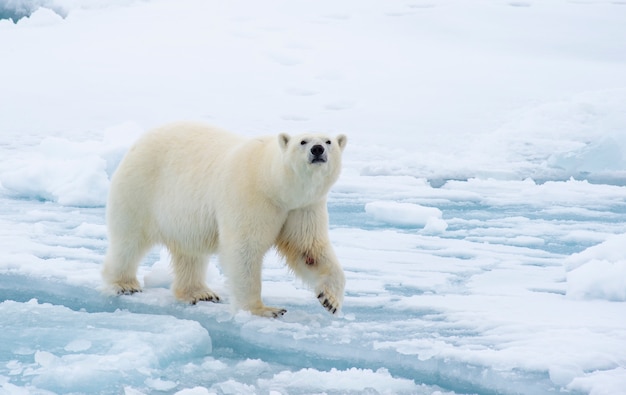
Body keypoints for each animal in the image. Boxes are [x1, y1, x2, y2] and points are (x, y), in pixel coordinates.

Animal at [102, 124, 346, 318]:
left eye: (329, 141)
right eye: (303, 141)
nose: (318, 150)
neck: (272, 183)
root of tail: (138, 142)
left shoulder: (302, 207)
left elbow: (308, 249)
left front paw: (330, 300)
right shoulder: (251, 196)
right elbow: (245, 249)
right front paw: (264, 310)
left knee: (190, 254)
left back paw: (200, 293)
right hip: (140, 190)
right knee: (129, 240)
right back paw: (124, 284)